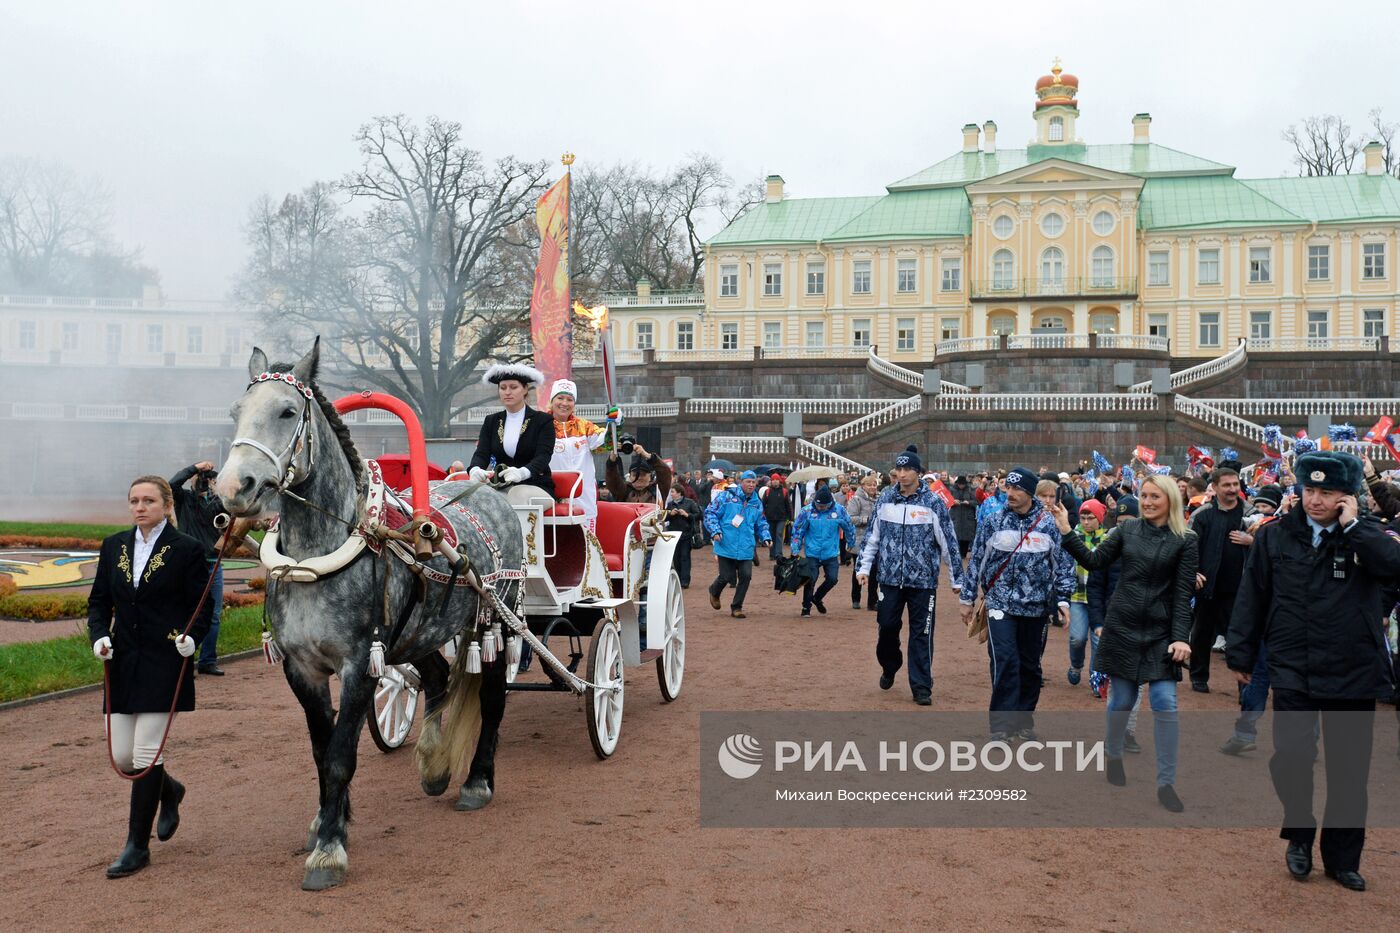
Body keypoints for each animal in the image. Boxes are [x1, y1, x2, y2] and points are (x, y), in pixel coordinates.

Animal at [215, 341, 523, 885]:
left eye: (288, 411)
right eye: (236, 411)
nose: (233, 486)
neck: (315, 557)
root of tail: (490, 488)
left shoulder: (359, 663)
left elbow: (341, 755)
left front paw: (329, 849)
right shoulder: (303, 668)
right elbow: (322, 753)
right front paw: (326, 820)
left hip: (494, 621)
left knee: (491, 698)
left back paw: (477, 781)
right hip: (419, 631)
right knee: (437, 676)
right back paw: (434, 762)